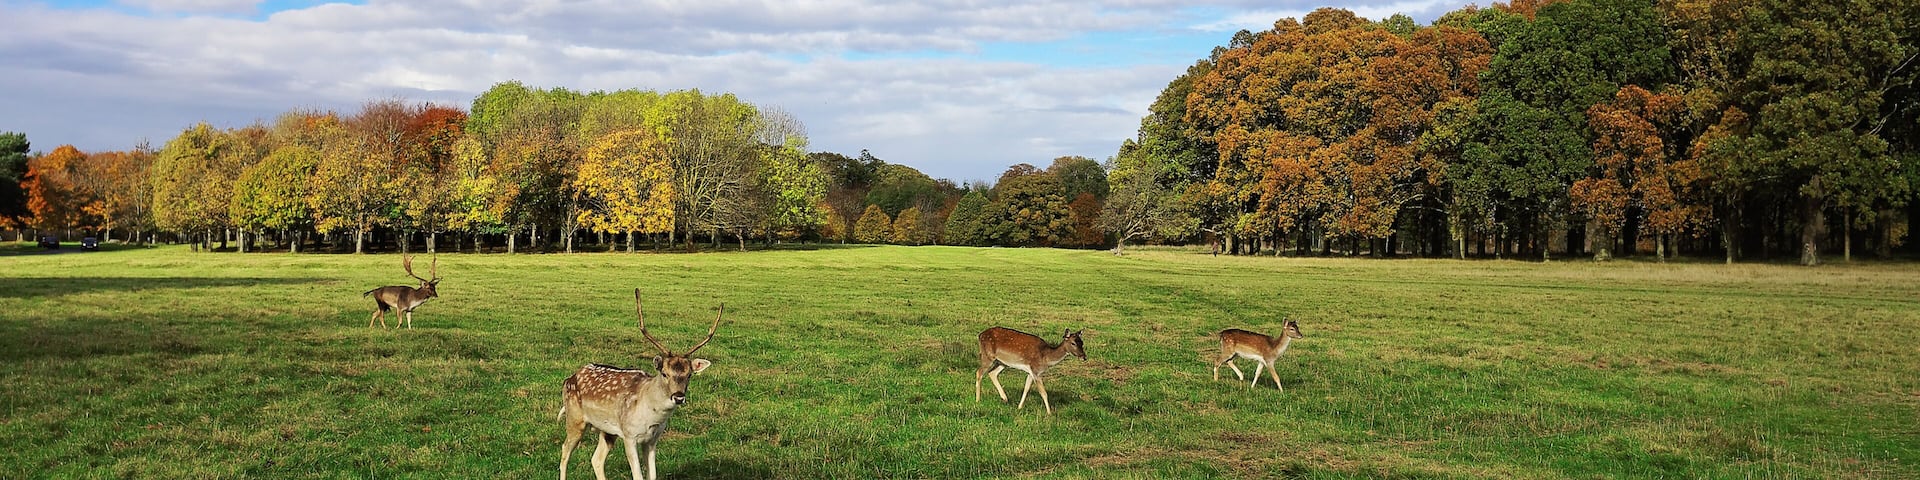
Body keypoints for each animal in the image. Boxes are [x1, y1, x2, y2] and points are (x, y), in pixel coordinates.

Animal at [559, 290, 720, 480]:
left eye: (689, 375)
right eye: (664, 373)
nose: (679, 397)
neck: (652, 417)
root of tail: (570, 378)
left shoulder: (652, 439)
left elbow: (652, 475)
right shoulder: (629, 435)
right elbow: (638, 476)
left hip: (607, 431)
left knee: (596, 459)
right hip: (574, 418)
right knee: (565, 450)